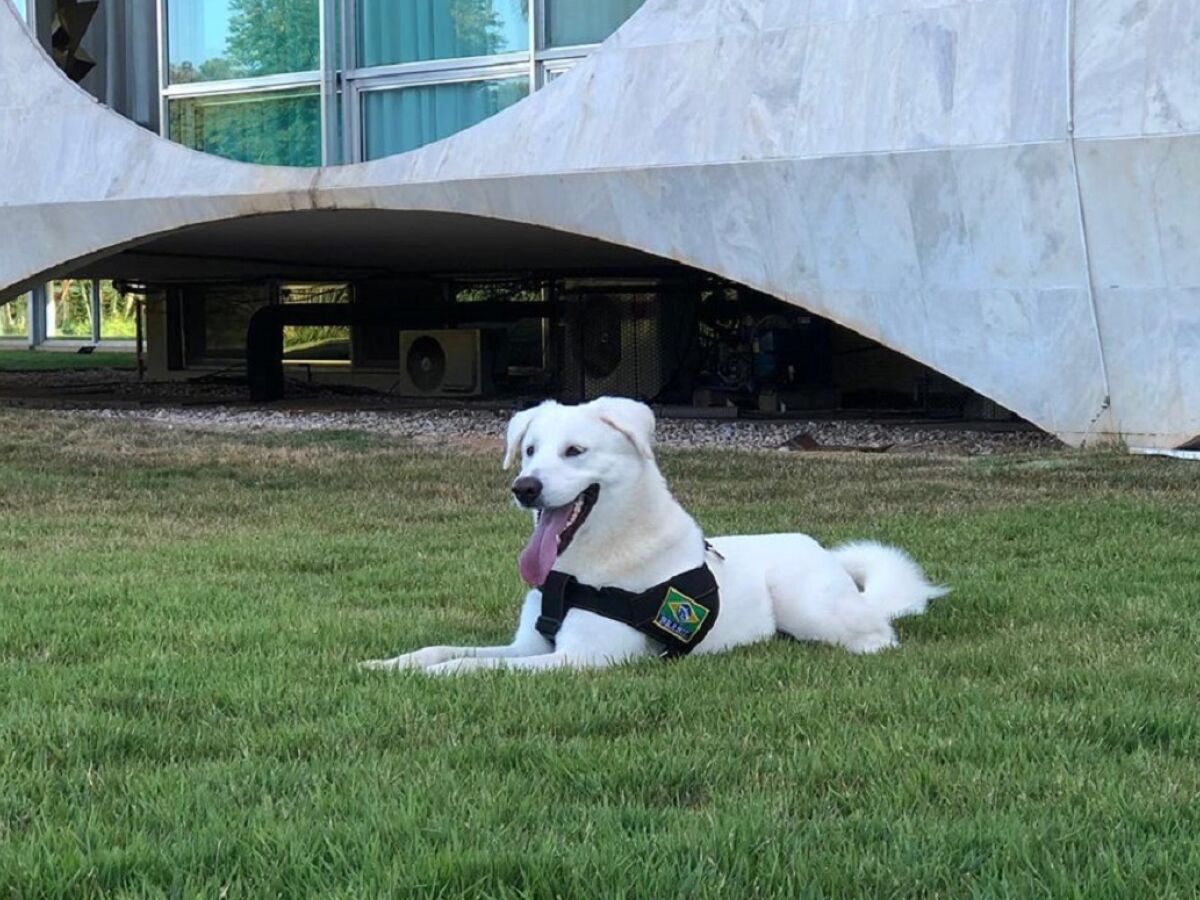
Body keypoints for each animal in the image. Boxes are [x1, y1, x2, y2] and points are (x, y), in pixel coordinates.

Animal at [360, 396, 940, 676]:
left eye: (575, 451)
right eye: (528, 450)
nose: (524, 488)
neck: (580, 570)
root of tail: (818, 548)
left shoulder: (579, 660)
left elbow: (471, 667)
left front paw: (433, 676)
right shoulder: (527, 644)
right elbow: (441, 649)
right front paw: (390, 664)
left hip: (811, 609)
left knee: (880, 635)